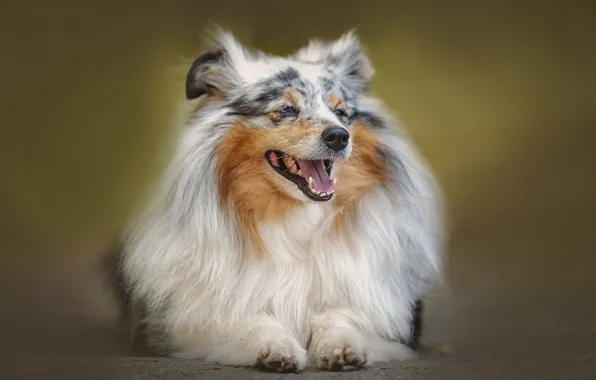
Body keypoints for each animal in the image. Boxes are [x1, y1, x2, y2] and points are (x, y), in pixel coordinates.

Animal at [117, 29, 442, 372]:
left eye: (340, 112)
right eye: (285, 110)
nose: (339, 136)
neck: (294, 217)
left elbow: (340, 314)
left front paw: (341, 346)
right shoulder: (197, 318)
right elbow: (253, 318)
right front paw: (277, 347)